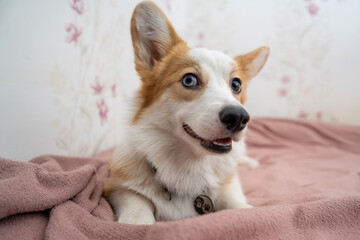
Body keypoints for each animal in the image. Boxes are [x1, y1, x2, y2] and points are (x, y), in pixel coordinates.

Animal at [102, 0, 268, 224]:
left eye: (236, 85)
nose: (239, 118)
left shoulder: (229, 187)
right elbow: (137, 204)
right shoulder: (114, 187)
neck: (190, 164)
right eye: (189, 80)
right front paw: (136, 221)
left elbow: (239, 206)